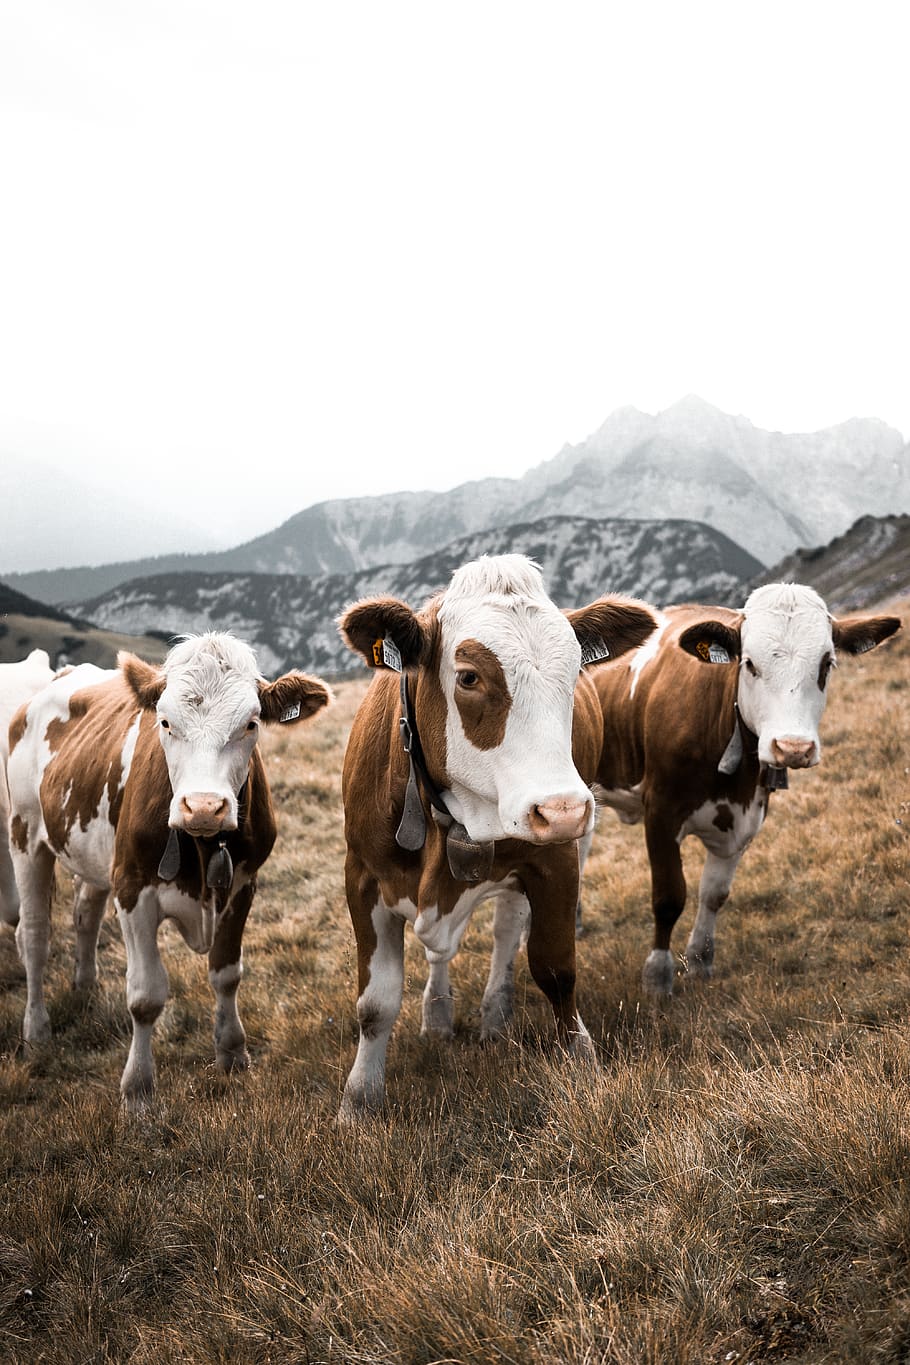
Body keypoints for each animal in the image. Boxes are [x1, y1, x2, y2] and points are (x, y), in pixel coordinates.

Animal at [6, 633, 332, 1107]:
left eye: (251, 724)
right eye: (164, 722)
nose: (204, 806)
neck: (201, 844)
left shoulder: (241, 886)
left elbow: (226, 973)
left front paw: (233, 1053)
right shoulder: (132, 889)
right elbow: (145, 996)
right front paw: (138, 1089)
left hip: (94, 854)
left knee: (85, 913)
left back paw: (84, 988)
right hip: (25, 834)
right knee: (33, 937)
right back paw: (37, 1030)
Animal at [335, 554, 657, 1120]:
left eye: (575, 671)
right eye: (468, 676)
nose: (563, 810)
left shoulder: (555, 861)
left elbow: (555, 968)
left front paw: (581, 1060)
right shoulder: (362, 875)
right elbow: (375, 1003)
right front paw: (359, 1100)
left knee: (508, 931)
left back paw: (494, 1012)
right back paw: (439, 1015)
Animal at [590, 582, 901, 996]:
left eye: (826, 664)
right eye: (750, 664)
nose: (793, 747)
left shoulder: (746, 817)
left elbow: (714, 894)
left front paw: (700, 960)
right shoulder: (660, 810)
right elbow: (669, 897)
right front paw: (657, 976)